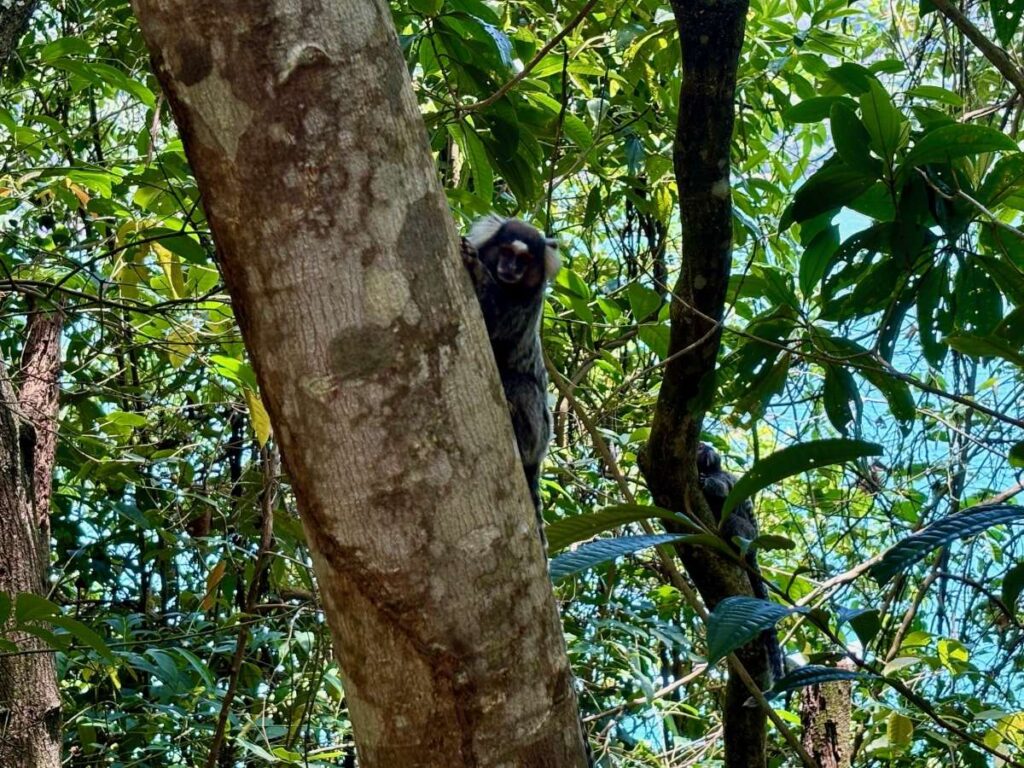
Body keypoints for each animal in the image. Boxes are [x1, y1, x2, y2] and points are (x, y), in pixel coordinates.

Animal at [460, 214, 560, 545]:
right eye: (505, 252)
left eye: (524, 260)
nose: (511, 269)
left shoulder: (528, 305)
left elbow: (496, 326)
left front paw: (478, 271)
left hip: (541, 432)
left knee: (522, 385)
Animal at [697, 442, 786, 688]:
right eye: (700, 447)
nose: (707, 448)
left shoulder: (723, 478)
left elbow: (722, 491)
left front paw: (705, 483)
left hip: (746, 534)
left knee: (731, 521)